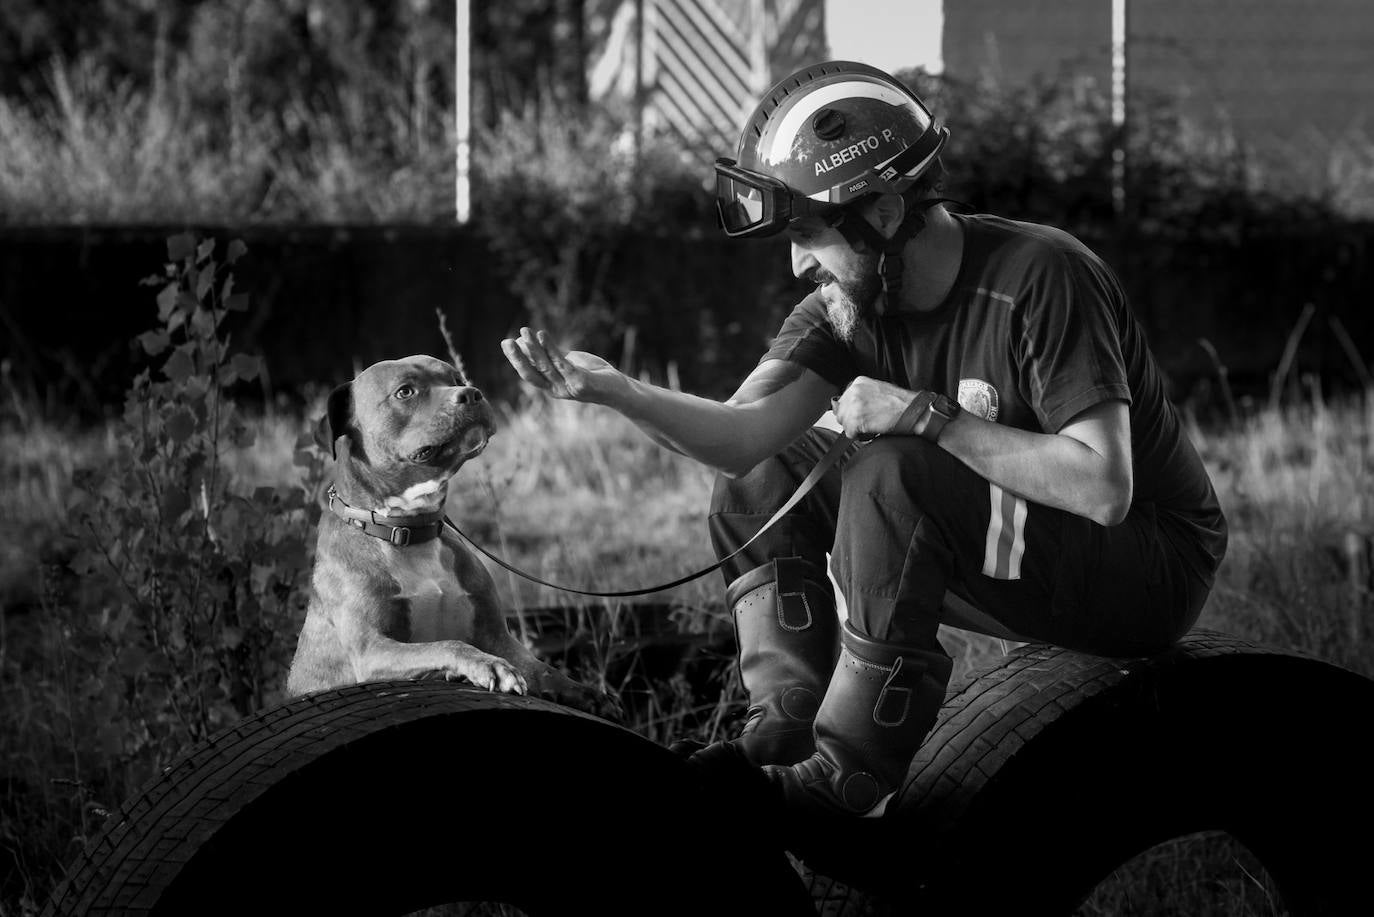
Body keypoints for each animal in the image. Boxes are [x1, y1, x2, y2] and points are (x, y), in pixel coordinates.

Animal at [284, 354, 612, 720]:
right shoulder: (372, 649)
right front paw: (488, 666)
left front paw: (584, 693)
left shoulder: (498, 637)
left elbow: (543, 669)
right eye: (405, 391)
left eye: (455, 379)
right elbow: (447, 644)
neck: (409, 531)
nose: (471, 393)